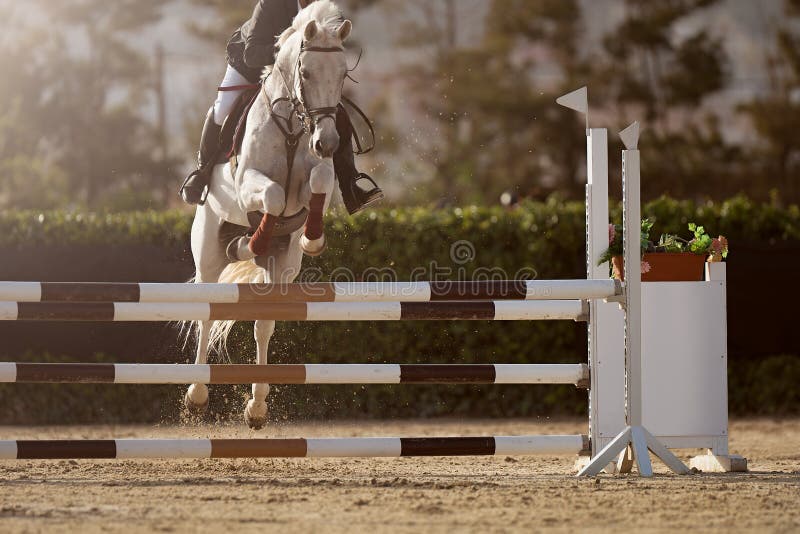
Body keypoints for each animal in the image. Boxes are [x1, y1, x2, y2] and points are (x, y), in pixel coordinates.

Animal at [188, 2, 354, 432]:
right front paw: (254, 238)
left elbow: (319, 180)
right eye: (306, 73)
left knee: (264, 323)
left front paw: (312, 237)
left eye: (343, 74)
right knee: (207, 314)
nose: (327, 142)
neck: (294, 125)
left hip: (282, 266)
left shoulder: (313, 182)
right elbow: (274, 197)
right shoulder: (249, 181)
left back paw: (258, 406)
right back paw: (196, 395)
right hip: (207, 253)